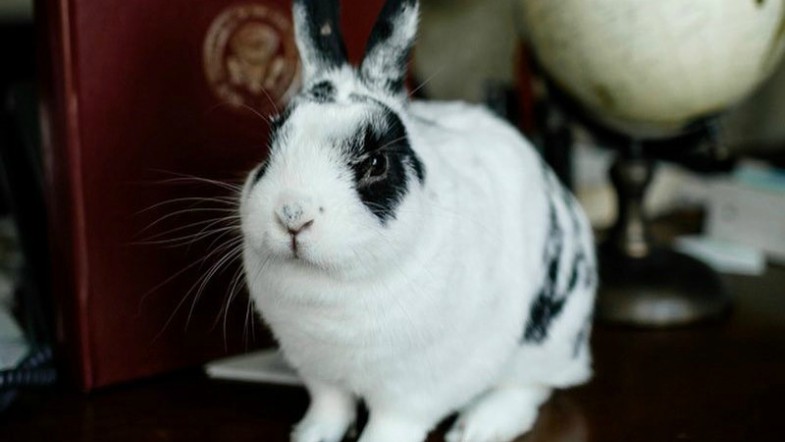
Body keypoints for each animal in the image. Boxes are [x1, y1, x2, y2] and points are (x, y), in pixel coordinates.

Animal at [239, 1, 597, 441]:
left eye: (376, 163)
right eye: (270, 146)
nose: (292, 215)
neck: (334, 286)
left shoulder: (411, 390)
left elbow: (391, 423)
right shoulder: (319, 373)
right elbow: (330, 406)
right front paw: (312, 436)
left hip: (543, 344)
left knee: (529, 386)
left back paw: (477, 427)